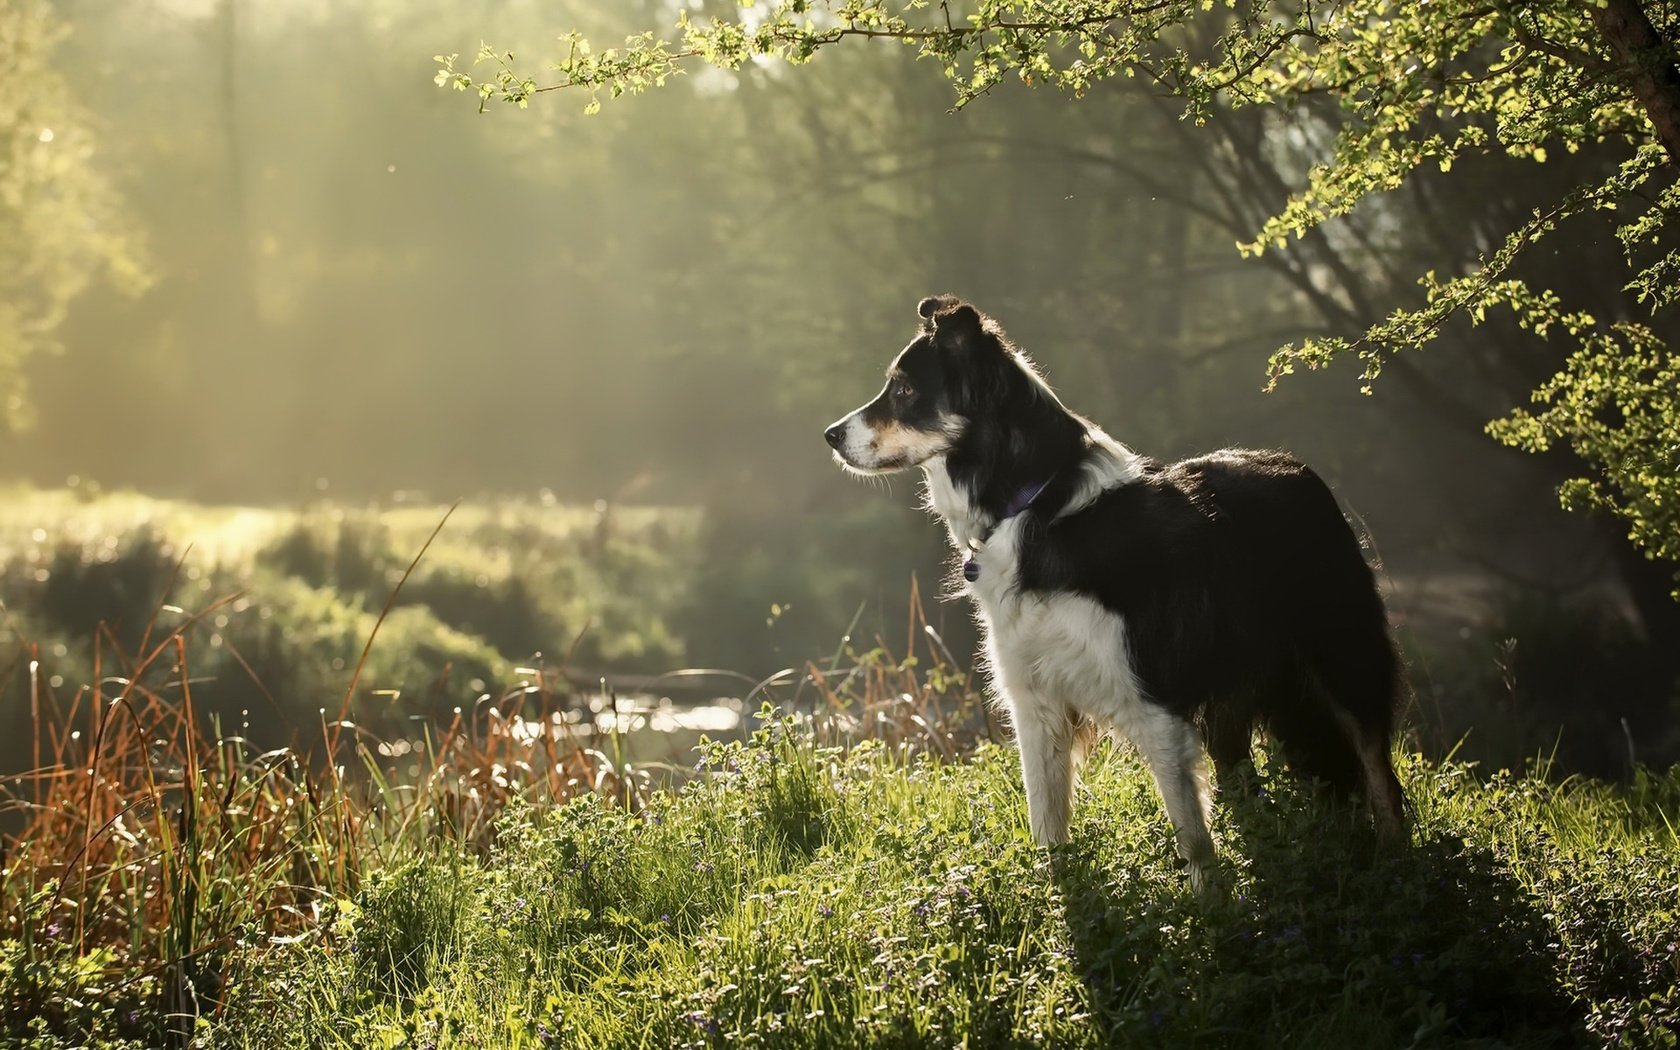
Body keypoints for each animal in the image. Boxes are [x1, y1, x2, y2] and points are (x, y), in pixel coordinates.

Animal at [826, 295, 1404, 893]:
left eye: (904, 391)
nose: (829, 435)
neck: (1038, 504)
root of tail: (1299, 468)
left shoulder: (1154, 701)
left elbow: (1192, 837)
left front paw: (1210, 906)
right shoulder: (1035, 703)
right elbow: (1047, 824)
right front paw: (1059, 901)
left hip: (1345, 657)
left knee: (1379, 774)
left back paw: (1396, 863)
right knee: (1246, 781)